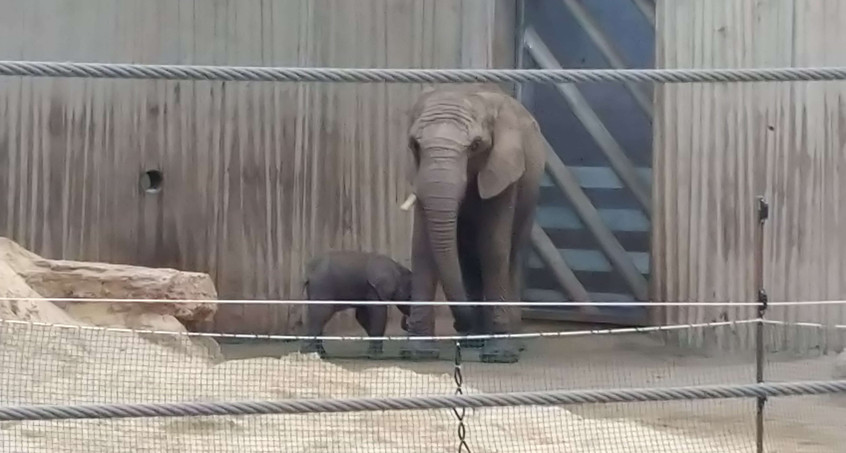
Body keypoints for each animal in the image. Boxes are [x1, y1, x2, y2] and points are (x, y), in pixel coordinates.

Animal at [400, 83, 548, 362]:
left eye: (475, 145)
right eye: (415, 145)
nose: (459, 324)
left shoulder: (505, 170)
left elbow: (493, 247)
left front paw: (500, 355)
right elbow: (422, 249)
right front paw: (417, 353)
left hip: (530, 196)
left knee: (512, 254)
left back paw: (510, 340)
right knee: (467, 258)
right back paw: (472, 341)